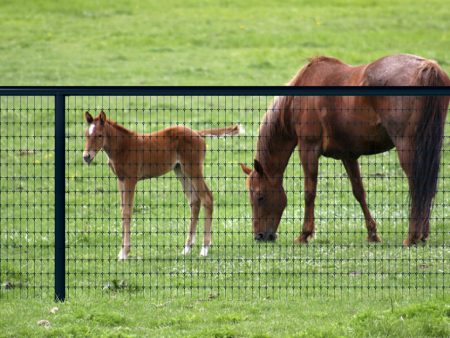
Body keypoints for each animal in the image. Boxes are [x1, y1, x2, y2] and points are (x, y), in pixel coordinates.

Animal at [82, 111, 241, 258]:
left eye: (99, 135)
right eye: (86, 135)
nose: (86, 157)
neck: (123, 146)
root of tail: (197, 133)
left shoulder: (130, 180)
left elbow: (127, 212)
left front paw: (124, 253)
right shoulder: (120, 180)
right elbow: (122, 211)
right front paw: (122, 251)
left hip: (193, 169)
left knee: (207, 198)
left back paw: (204, 249)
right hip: (180, 171)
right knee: (195, 201)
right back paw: (186, 248)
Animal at [243, 54, 450, 247]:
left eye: (260, 197)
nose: (259, 236)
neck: (297, 101)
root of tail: (426, 67)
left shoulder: (308, 148)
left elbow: (309, 192)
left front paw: (304, 234)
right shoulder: (348, 155)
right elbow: (359, 192)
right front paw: (372, 234)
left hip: (407, 146)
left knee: (417, 186)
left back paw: (412, 237)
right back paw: (422, 235)